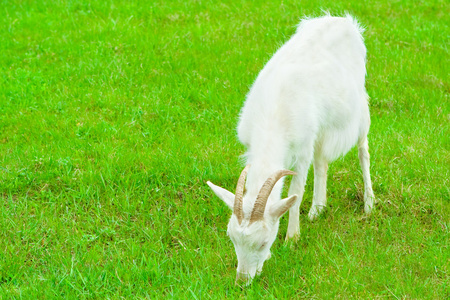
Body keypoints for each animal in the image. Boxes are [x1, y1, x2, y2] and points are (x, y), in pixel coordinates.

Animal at [207, 14, 376, 286]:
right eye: (231, 238)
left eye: (263, 242)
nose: (242, 281)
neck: (272, 118)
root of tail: (342, 21)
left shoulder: (303, 149)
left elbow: (295, 193)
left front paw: (291, 238)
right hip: (322, 127)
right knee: (322, 162)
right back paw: (317, 209)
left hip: (358, 108)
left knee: (363, 150)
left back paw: (369, 204)